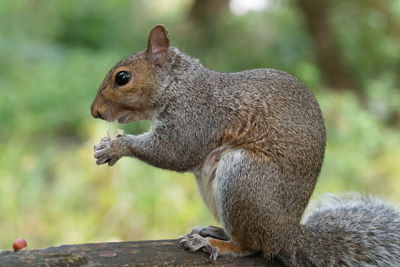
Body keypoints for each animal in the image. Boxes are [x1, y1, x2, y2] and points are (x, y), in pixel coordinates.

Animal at [90, 24, 400, 266]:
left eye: (122, 78)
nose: (95, 112)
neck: (178, 83)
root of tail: (287, 235)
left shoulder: (194, 116)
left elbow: (175, 152)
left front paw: (115, 147)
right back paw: (214, 232)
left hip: (243, 178)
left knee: (252, 247)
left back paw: (214, 245)